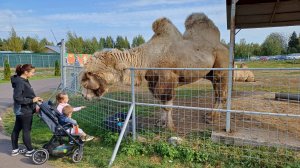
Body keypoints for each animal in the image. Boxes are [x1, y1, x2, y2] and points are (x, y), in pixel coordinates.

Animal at [79, 13, 230, 131]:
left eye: (90, 74)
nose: (83, 95)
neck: (147, 58)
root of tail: (226, 48)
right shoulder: (153, 81)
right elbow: (160, 103)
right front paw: (160, 123)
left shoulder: (168, 79)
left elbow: (167, 105)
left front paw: (170, 127)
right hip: (210, 74)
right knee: (218, 94)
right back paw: (210, 116)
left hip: (221, 70)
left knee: (221, 94)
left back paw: (212, 118)